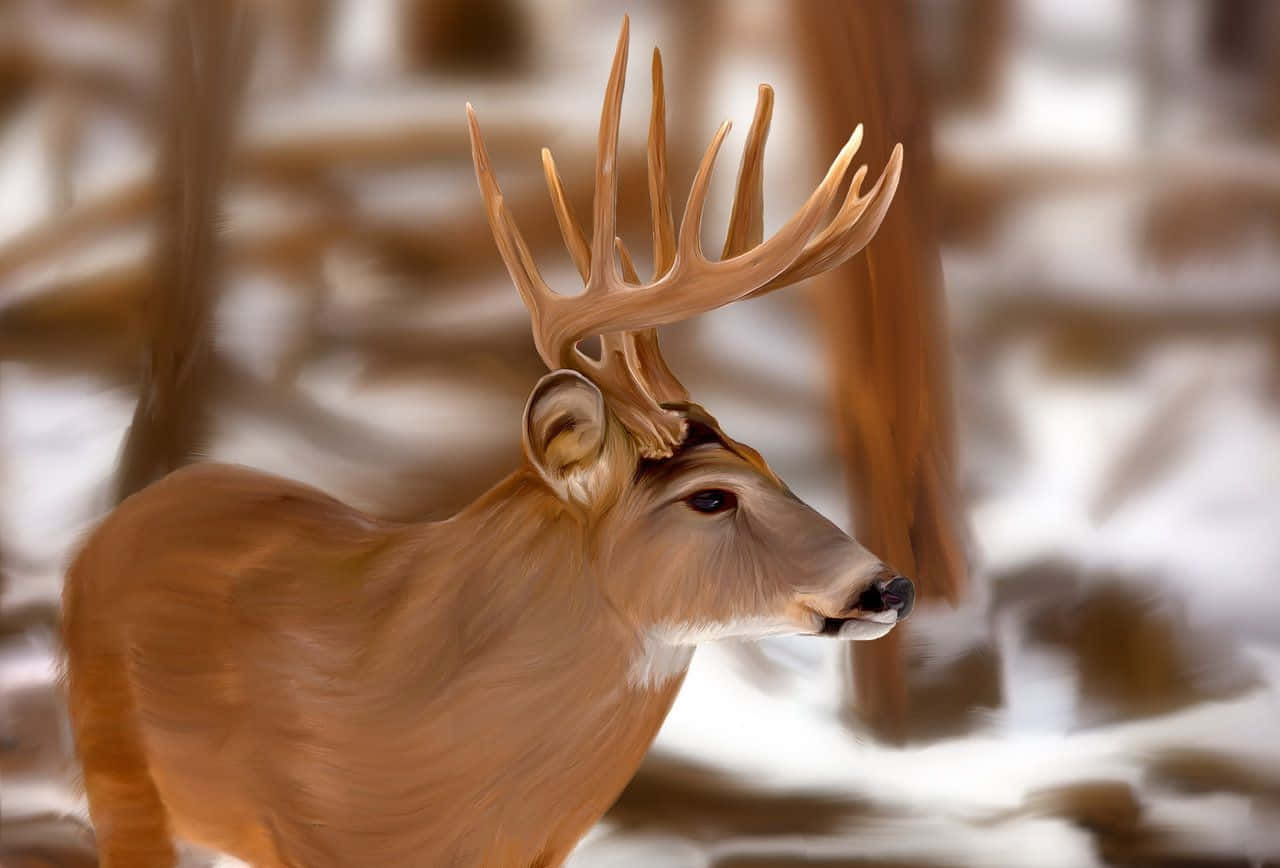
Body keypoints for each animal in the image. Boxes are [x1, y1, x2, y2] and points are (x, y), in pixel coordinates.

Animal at [61, 17, 909, 868]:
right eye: (710, 497)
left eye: (770, 463)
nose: (889, 586)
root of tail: (115, 523)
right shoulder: (306, 833)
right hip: (120, 766)